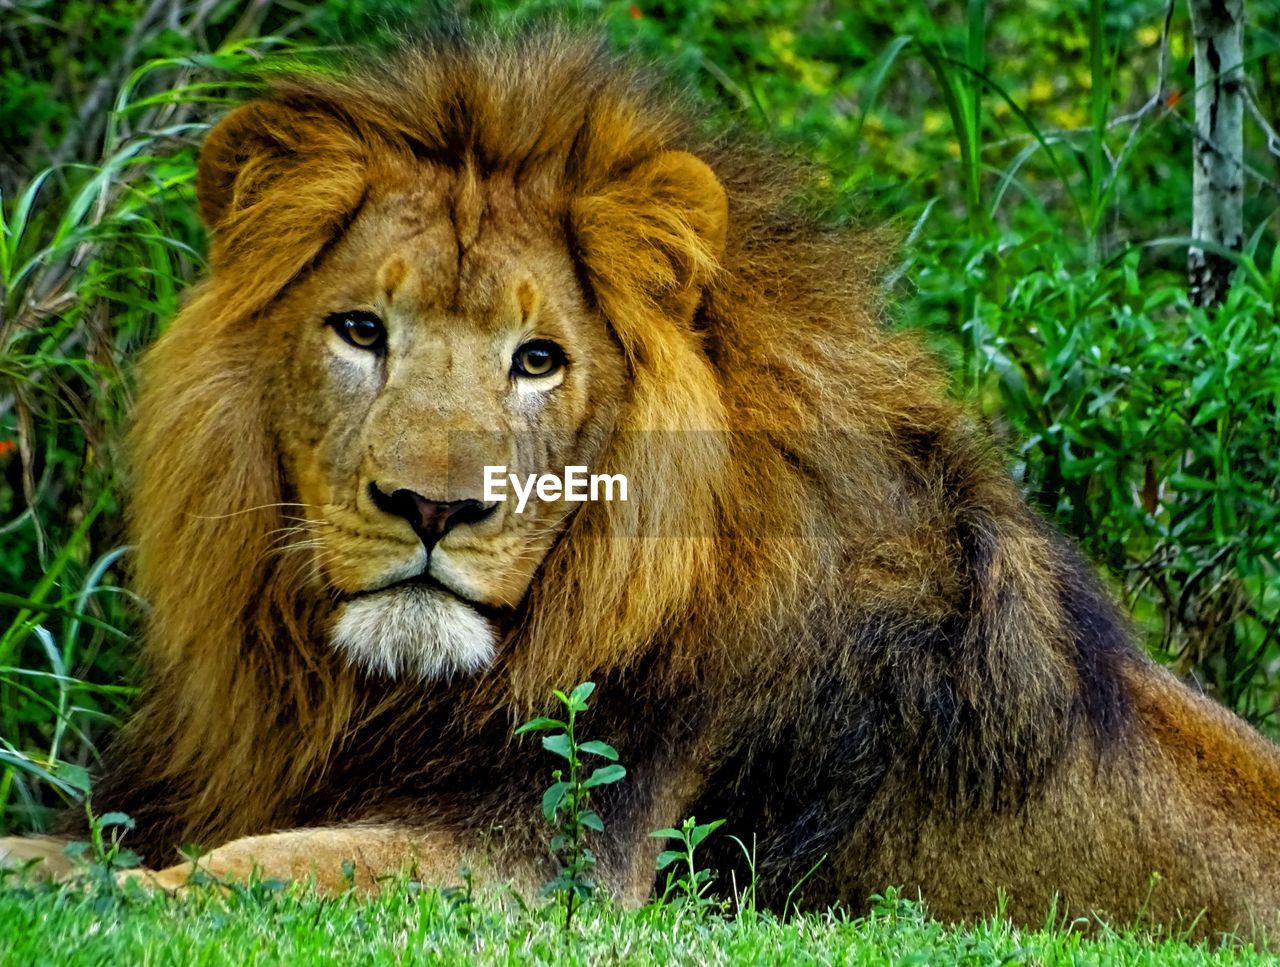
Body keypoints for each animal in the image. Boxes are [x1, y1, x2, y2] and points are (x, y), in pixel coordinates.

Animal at [2, 34, 1280, 942]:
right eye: (360, 330)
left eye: (538, 359)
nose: (432, 509)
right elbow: (70, 845)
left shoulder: (536, 867)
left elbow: (222, 874)